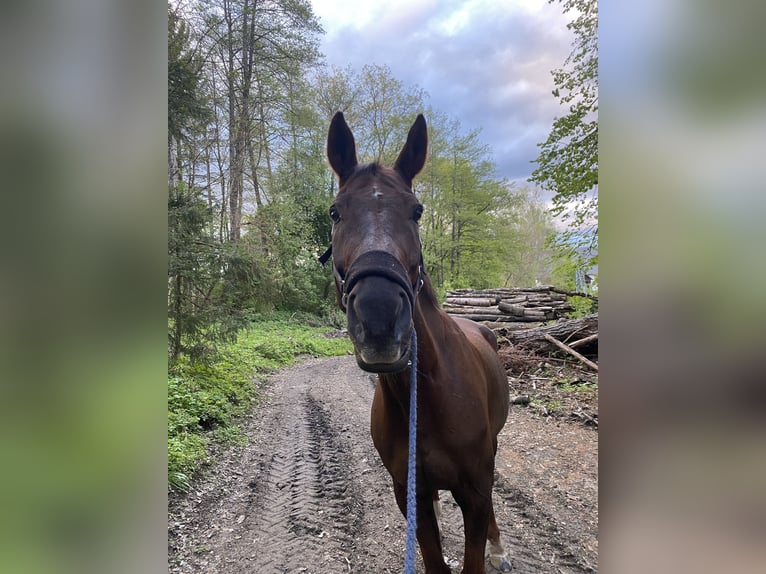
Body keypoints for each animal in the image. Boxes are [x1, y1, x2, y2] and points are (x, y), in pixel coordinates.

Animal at [328, 110, 512, 572]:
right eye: (335, 212)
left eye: (416, 211)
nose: (378, 318)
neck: (428, 394)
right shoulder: (408, 492)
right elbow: (433, 559)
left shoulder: (476, 491)